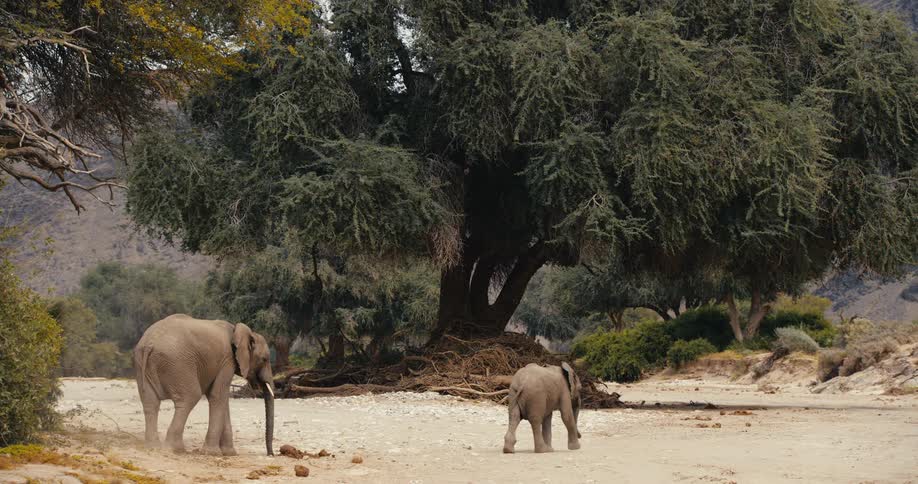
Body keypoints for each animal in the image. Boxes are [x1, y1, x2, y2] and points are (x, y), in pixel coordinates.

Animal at [133, 314, 275, 456]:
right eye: (264, 359)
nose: (271, 454)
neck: (239, 330)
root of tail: (149, 343)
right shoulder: (227, 361)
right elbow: (218, 396)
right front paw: (212, 453)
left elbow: (221, 399)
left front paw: (229, 453)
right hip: (177, 364)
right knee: (189, 398)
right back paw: (175, 449)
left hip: (143, 364)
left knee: (150, 403)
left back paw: (153, 447)